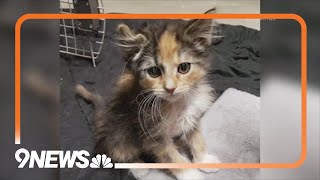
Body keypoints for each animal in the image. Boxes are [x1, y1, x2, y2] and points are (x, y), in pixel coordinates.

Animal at [75, 19, 220, 179]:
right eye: (154, 71)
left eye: (184, 68)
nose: (170, 88)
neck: (175, 103)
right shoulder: (152, 134)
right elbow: (171, 156)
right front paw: (191, 175)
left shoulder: (192, 117)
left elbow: (197, 140)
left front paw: (204, 160)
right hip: (119, 129)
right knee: (118, 151)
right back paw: (138, 166)